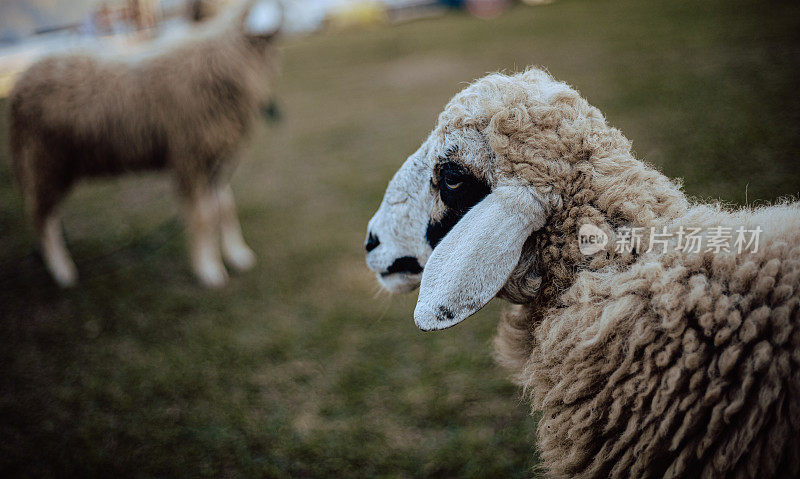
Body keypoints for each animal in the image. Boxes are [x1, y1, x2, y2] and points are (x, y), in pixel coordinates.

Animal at [7, 0, 282, 288]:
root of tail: (21, 82)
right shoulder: (190, 158)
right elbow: (204, 217)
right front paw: (209, 270)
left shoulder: (214, 161)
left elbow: (225, 208)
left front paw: (237, 255)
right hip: (44, 160)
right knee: (42, 218)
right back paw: (62, 271)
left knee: (47, 215)